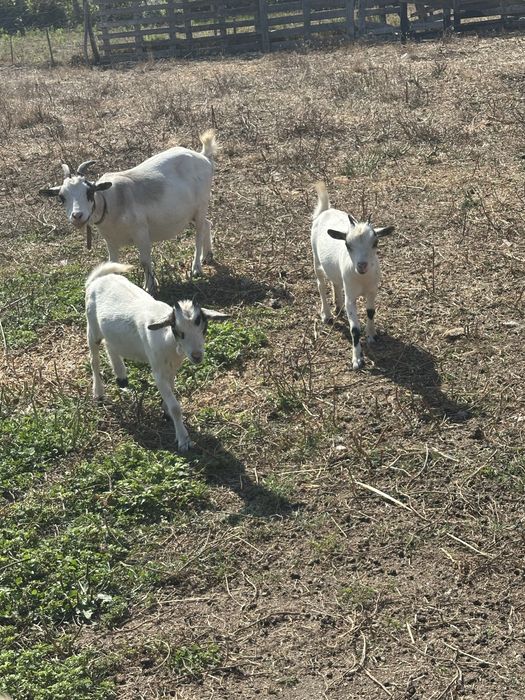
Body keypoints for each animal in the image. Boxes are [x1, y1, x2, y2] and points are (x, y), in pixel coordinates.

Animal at [40, 130, 218, 294]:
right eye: (61, 197)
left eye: (89, 192)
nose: (77, 216)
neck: (110, 201)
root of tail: (204, 157)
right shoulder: (110, 240)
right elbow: (112, 263)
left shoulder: (141, 232)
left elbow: (145, 261)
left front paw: (149, 287)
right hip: (192, 213)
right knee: (207, 224)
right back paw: (207, 256)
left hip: (201, 206)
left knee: (198, 234)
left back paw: (196, 268)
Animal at [85, 262, 229, 452]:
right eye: (178, 331)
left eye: (203, 328)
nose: (197, 356)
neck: (168, 340)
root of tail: (99, 278)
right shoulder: (158, 372)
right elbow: (176, 407)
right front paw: (183, 440)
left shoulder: (172, 368)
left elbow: (172, 388)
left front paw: (165, 410)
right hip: (92, 327)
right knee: (94, 359)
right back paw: (98, 392)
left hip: (111, 333)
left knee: (111, 346)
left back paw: (121, 377)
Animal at [311, 182, 395, 369]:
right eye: (347, 244)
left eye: (376, 242)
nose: (362, 265)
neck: (362, 279)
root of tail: (325, 210)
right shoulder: (351, 296)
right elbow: (354, 329)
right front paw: (357, 359)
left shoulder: (372, 290)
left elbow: (371, 312)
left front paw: (372, 335)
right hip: (315, 258)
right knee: (321, 284)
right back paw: (327, 314)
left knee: (335, 282)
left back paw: (338, 306)